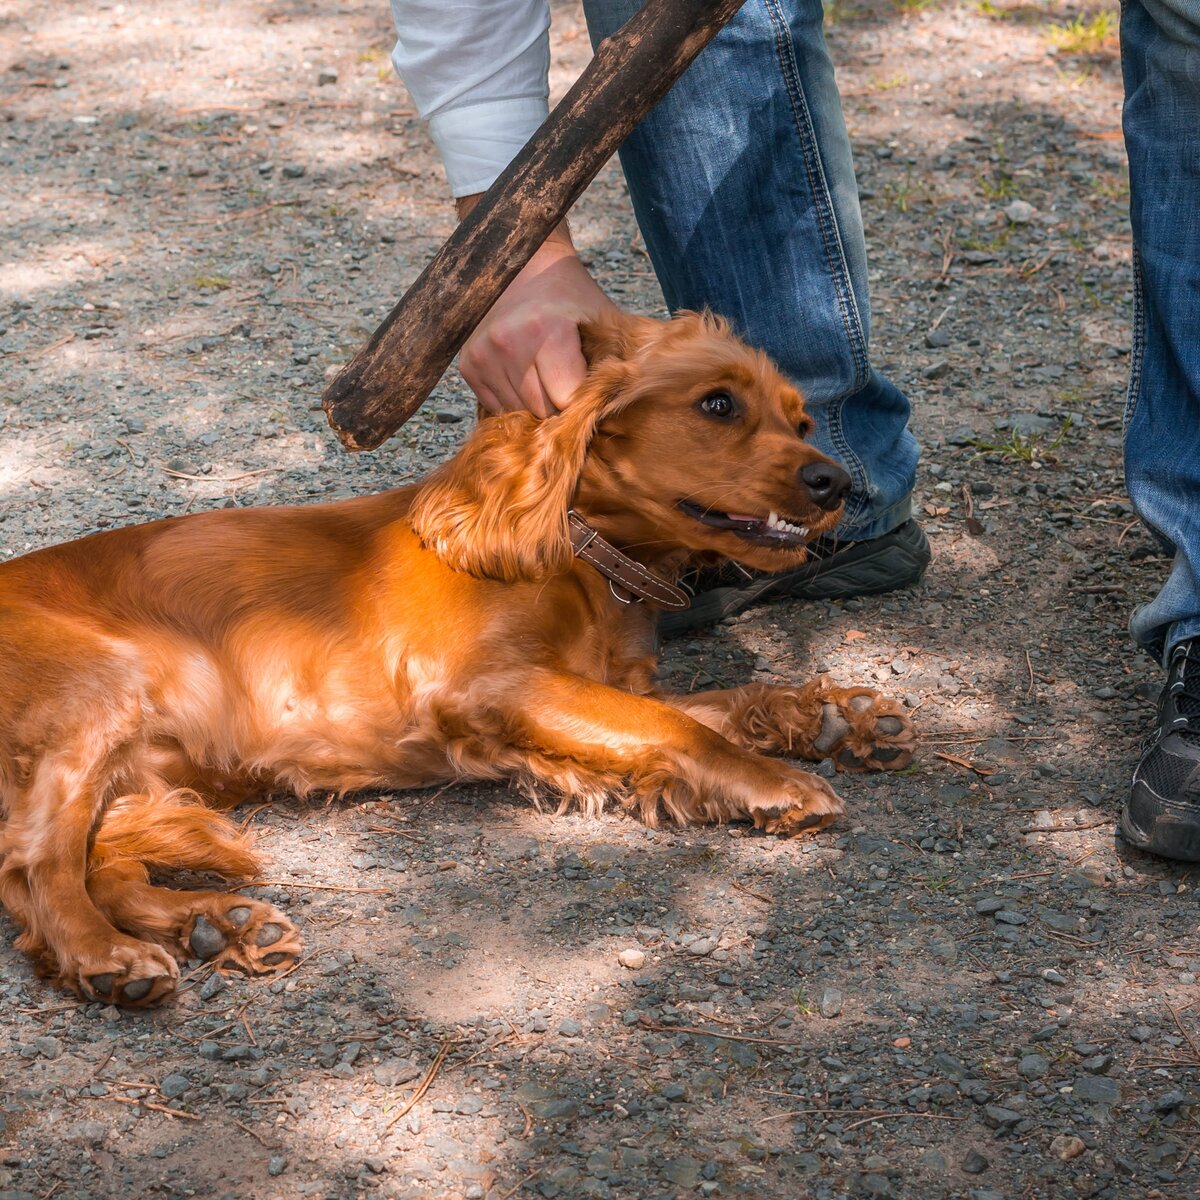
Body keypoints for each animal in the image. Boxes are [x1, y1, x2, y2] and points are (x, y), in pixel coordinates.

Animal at [0, 309, 912, 1003]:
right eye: (718, 404)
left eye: (803, 421)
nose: (835, 483)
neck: (585, 557)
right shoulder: (490, 685)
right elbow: (679, 727)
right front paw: (780, 781)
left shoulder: (585, 686)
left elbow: (703, 708)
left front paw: (833, 716)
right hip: (95, 697)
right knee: (34, 865)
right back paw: (108, 957)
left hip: (140, 775)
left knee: (104, 865)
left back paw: (216, 923)